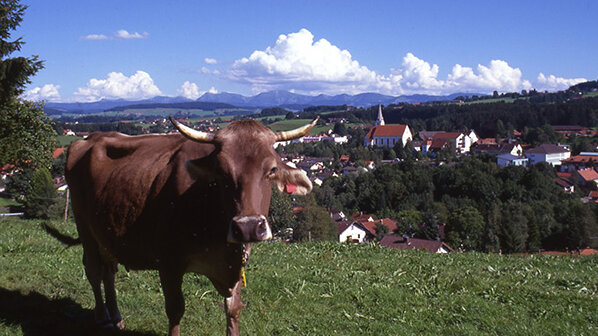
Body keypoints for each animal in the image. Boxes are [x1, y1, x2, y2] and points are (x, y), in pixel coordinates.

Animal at [65, 117, 318, 334]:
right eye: (221, 171)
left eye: (272, 170)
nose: (248, 227)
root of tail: (88, 139)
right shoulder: (168, 262)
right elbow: (175, 310)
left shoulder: (234, 265)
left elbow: (233, 309)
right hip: (85, 227)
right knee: (93, 270)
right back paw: (103, 317)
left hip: (106, 233)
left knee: (109, 271)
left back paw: (116, 317)